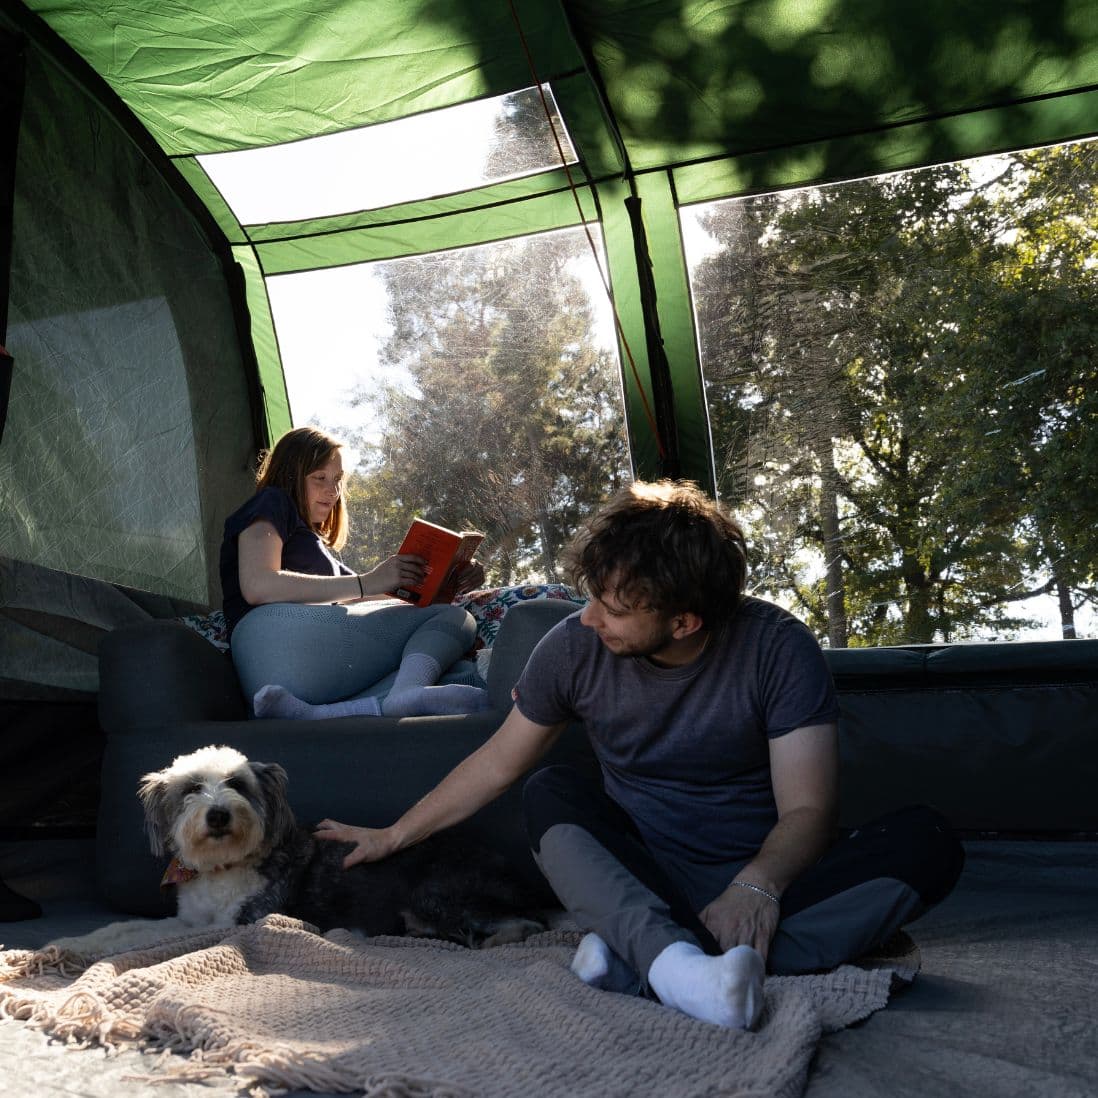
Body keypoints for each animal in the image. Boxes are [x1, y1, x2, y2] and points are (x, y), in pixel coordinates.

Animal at [50, 746, 544, 961]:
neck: (225, 865)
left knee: (527, 926)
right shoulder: (191, 919)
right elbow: (126, 927)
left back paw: (491, 940)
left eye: (237, 784)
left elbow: (148, 938)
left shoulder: (240, 923)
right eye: (191, 789)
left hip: (432, 894)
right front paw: (67, 945)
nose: (218, 814)